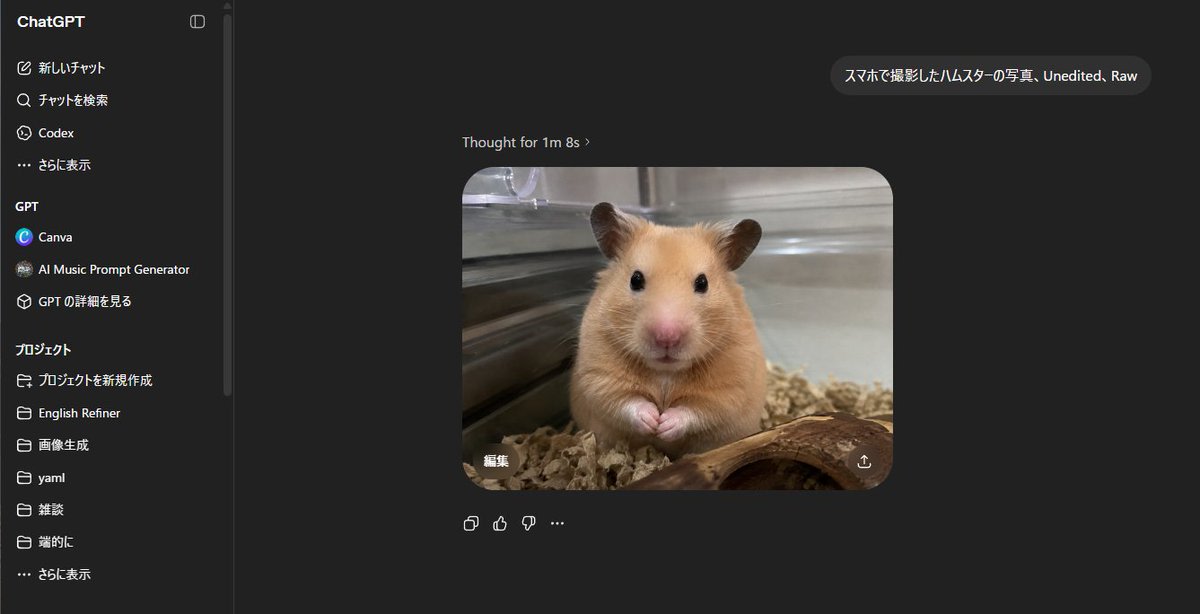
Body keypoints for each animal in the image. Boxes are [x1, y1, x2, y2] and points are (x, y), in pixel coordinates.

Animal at [570, 202, 767, 459]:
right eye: (635, 279)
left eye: (702, 283)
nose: (667, 337)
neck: (665, 372)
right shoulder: (600, 375)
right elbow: (626, 401)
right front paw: (653, 420)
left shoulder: (728, 389)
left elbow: (695, 411)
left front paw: (664, 425)